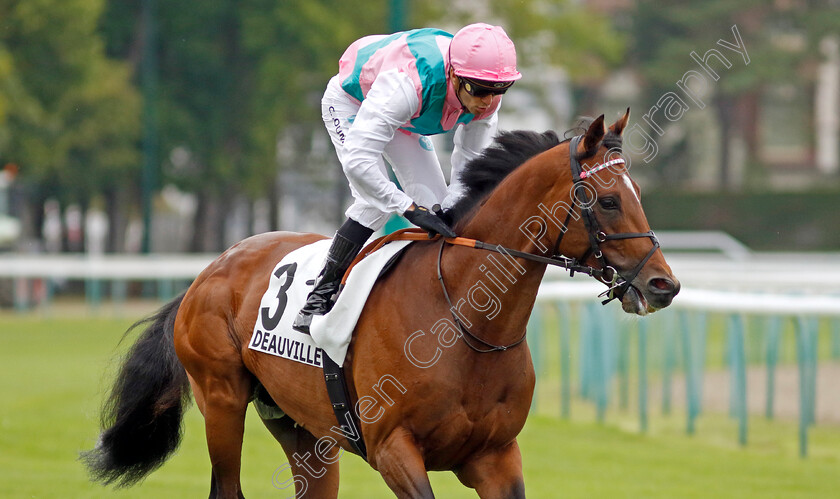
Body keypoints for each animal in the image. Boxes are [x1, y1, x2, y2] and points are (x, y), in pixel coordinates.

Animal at [82, 111, 680, 498]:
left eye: (638, 195)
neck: (465, 322)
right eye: (608, 200)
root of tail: (209, 270)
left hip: (302, 429)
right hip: (222, 399)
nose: (663, 286)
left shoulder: (495, 455)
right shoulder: (395, 449)